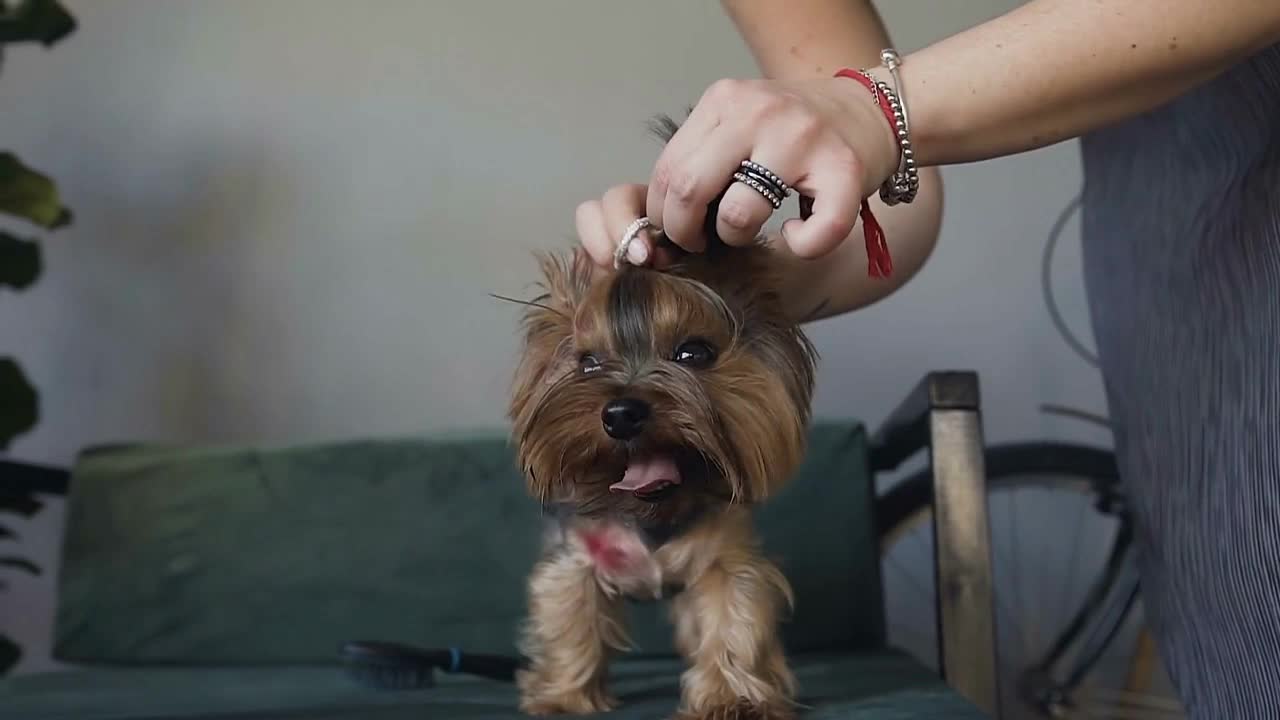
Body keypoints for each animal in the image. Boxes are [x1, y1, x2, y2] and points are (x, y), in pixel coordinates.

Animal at [509, 176, 819, 712]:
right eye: (588, 363)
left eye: (693, 352)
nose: (620, 414)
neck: (650, 510)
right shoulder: (576, 557)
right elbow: (570, 616)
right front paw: (563, 696)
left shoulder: (724, 558)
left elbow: (732, 614)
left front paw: (730, 697)